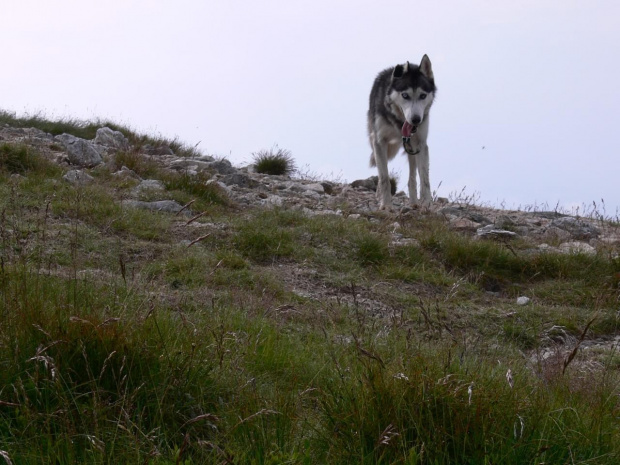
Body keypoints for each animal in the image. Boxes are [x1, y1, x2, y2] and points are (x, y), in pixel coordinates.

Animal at [368, 53, 436, 210]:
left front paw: (427, 204)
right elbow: (384, 177)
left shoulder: (421, 145)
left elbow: (424, 179)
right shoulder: (379, 141)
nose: (416, 119)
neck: (399, 123)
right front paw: (386, 205)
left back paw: (414, 202)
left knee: (412, 177)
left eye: (423, 96)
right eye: (405, 95)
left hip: (412, 149)